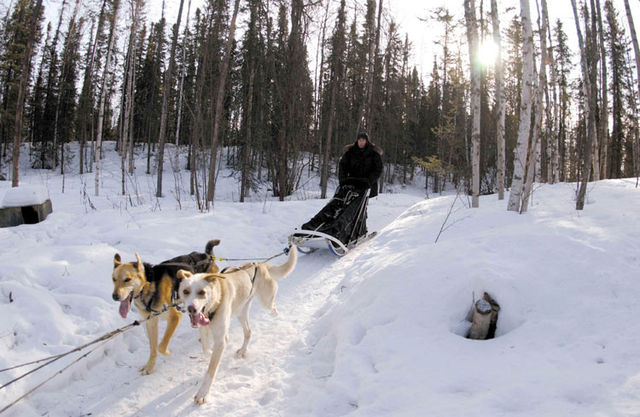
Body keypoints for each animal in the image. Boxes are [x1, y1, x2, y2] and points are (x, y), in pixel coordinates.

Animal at [110, 240, 220, 374]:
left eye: (127, 279)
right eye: (114, 279)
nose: (115, 296)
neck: (149, 284)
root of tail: (207, 256)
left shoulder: (174, 317)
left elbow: (161, 346)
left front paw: (168, 352)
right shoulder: (151, 322)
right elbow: (153, 348)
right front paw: (149, 367)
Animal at [176, 244, 298, 404]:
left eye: (201, 292)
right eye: (186, 291)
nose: (191, 308)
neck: (215, 303)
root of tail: (259, 264)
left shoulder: (221, 339)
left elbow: (211, 371)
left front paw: (203, 393)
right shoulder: (204, 330)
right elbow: (206, 349)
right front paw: (209, 354)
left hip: (265, 302)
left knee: (272, 308)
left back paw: (274, 314)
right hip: (241, 312)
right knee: (248, 332)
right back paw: (242, 350)